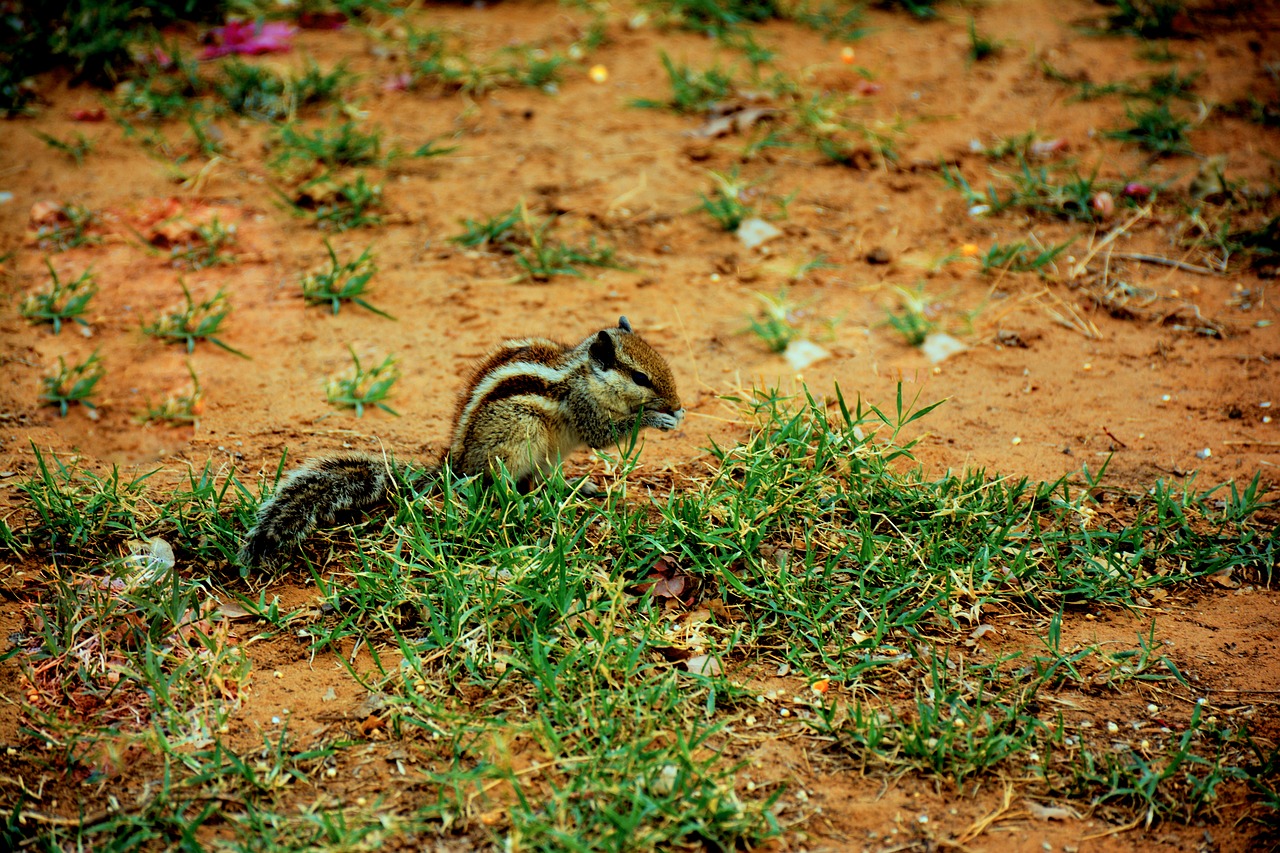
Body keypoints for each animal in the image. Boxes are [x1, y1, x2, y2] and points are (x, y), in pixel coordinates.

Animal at [236, 315, 686, 568]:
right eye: (641, 378)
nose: (679, 405)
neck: (584, 375)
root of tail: (455, 464)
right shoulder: (583, 408)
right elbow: (603, 434)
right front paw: (656, 417)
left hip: (547, 453)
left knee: (545, 479)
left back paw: (577, 487)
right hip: (520, 435)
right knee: (499, 484)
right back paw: (524, 500)